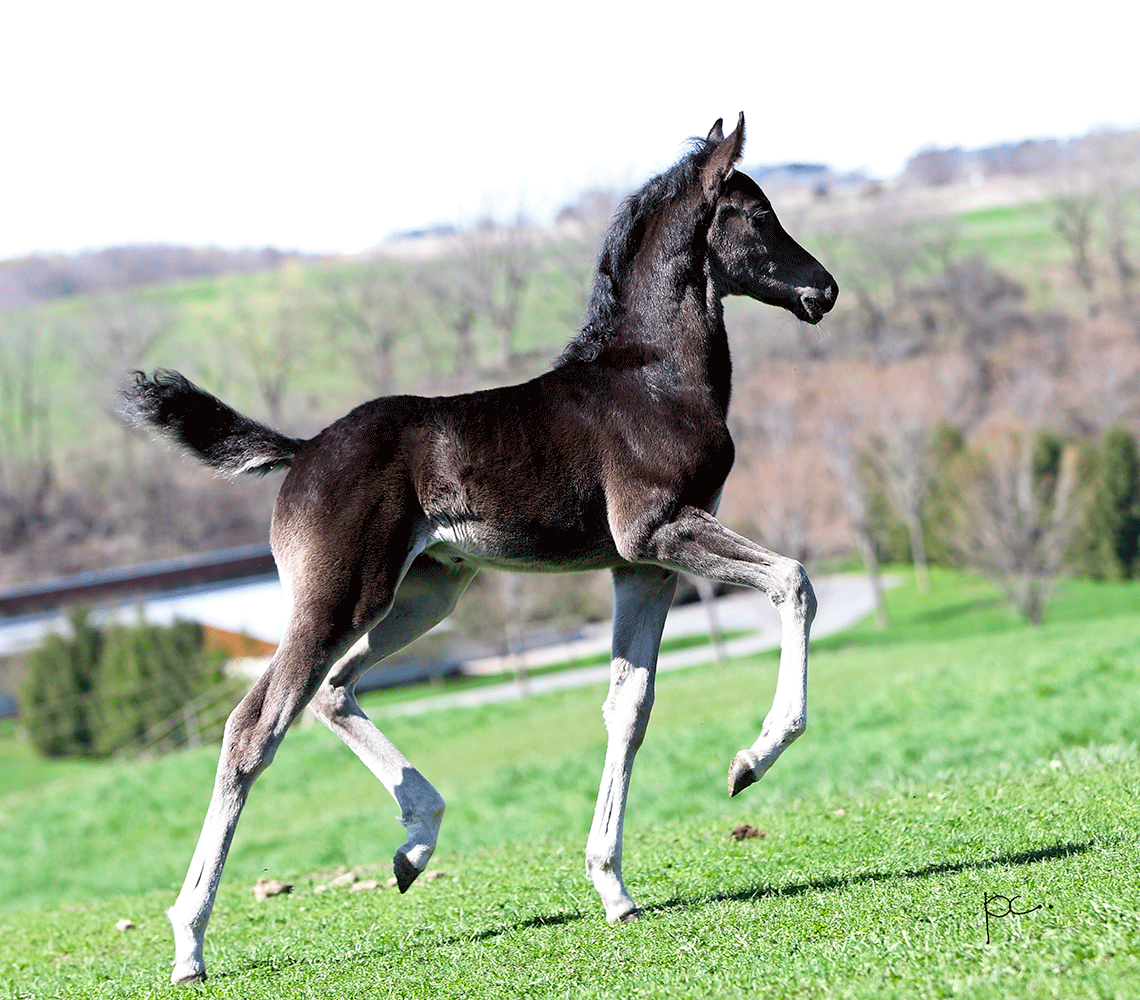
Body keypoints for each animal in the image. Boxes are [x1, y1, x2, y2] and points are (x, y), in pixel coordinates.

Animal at [122, 112, 839, 980]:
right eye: (759, 215)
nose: (824, 290)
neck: (654, 380)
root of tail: (303, 451)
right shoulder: (659, 528)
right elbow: (794, 581)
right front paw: (752, 759)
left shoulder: (641, 567)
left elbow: (628, 707)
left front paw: (613, 887)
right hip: (340, 595)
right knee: (255, 726)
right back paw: (189, 939)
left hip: (426, 592)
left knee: (332, 691)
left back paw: (415, 845)